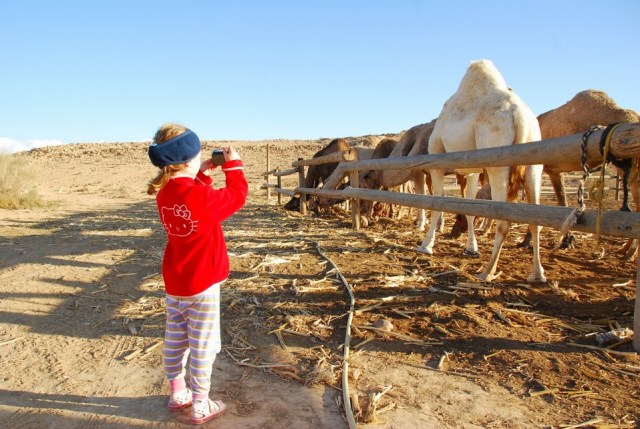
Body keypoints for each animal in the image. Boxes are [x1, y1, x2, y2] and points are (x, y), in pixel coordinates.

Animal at [419, 59, 546, 283]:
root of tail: (520, 116)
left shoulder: (437, 160)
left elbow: (437, 203)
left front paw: (426, 245)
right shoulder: (472, 170)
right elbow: (470, 207)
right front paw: (471, 248)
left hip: (498, 164)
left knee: (503, 221)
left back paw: (487, 271)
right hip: (533, 166)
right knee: (535, 221)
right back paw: (537, 274)